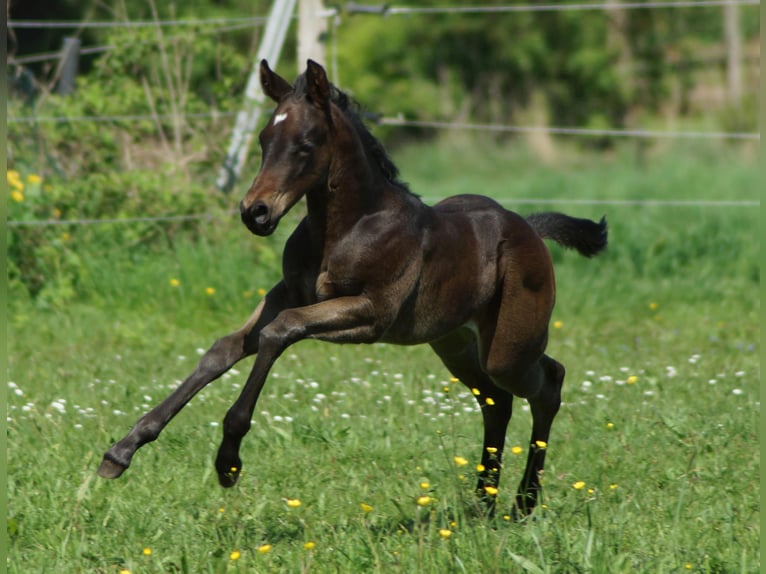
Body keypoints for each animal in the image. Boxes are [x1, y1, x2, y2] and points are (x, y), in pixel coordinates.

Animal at [98, 59, 607, 516]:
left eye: (305, 145)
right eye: (263, 139)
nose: (255, 213)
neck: (347, 227)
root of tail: (530, 230)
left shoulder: (369, 313)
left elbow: (279, 331)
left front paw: (228, 460)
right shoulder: (287, 293)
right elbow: (223, 349)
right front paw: (122, 450)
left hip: (508, 347)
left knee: (548, 383)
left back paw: (524, 502)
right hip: (455, 343)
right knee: (496, 400)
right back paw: (485, 499)